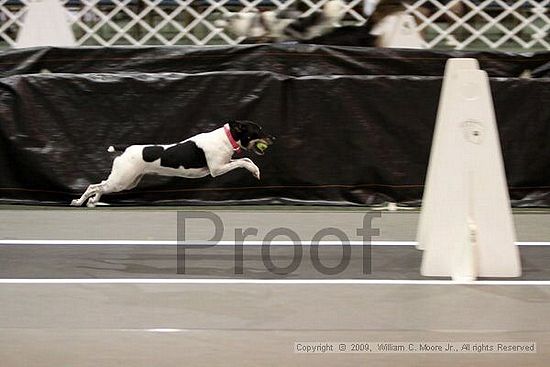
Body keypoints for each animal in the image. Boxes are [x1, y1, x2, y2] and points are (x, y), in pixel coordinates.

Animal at [70, 121, 276, 207]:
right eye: (258, 130)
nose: (273, 138)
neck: (227, 138)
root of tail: (126, 148)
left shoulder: (224, 162)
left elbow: (246, 159)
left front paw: (256, 171)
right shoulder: (217, 169)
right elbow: (243, 162)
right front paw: (254, 170)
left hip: (128, 181)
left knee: (101, 186)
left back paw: (92, 202)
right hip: (122, 180)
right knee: (94, 185)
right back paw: (79, 202)